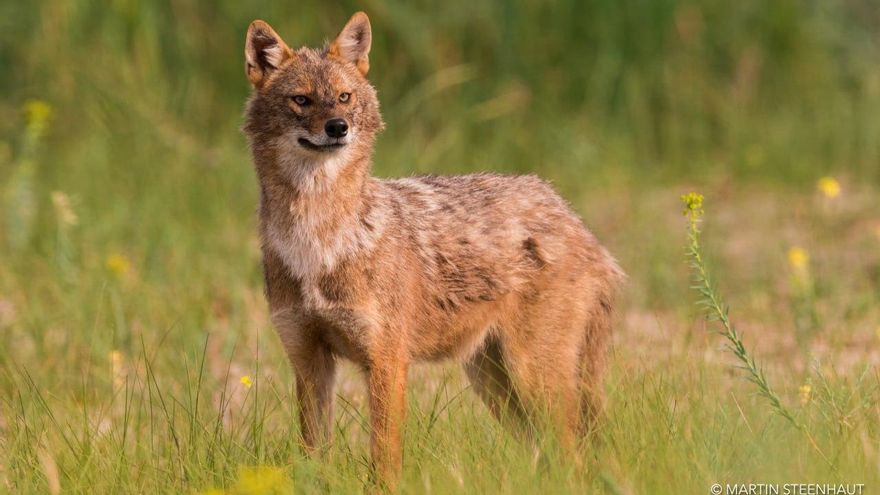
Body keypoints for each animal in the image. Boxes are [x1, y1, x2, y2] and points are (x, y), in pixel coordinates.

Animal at [243, 12, 624, 485]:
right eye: (302, 100)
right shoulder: (309, 361)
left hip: (534, 377)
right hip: (495, 384)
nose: (338, 127)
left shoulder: (387, 361)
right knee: (548, 455)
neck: (318, 243)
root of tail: (574, 219)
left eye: (344, 97)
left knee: (573, 458)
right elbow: (313, 458)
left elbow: (384, 458)